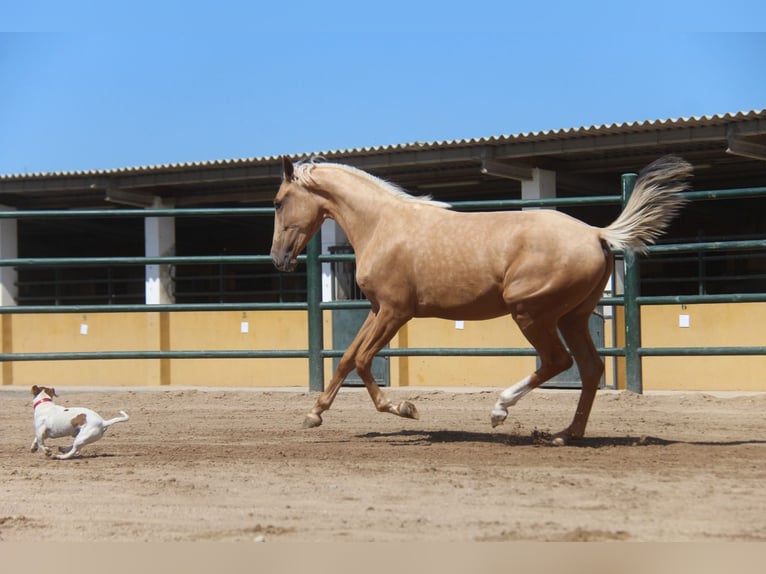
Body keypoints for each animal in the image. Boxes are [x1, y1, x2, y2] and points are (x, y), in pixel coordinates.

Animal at [272, 154, 696, 446]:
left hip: (531, 313)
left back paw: (500, 410)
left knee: (558, 361)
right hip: (572, 317)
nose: (278, 259)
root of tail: (596, 233)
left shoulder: (396, 311)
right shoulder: (377, 309)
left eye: (277, 202)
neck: (382, 225)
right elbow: (345, 359)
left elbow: (362, 361)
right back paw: (565, 434)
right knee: (590, 368)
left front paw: (405, 409)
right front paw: (313, 414)